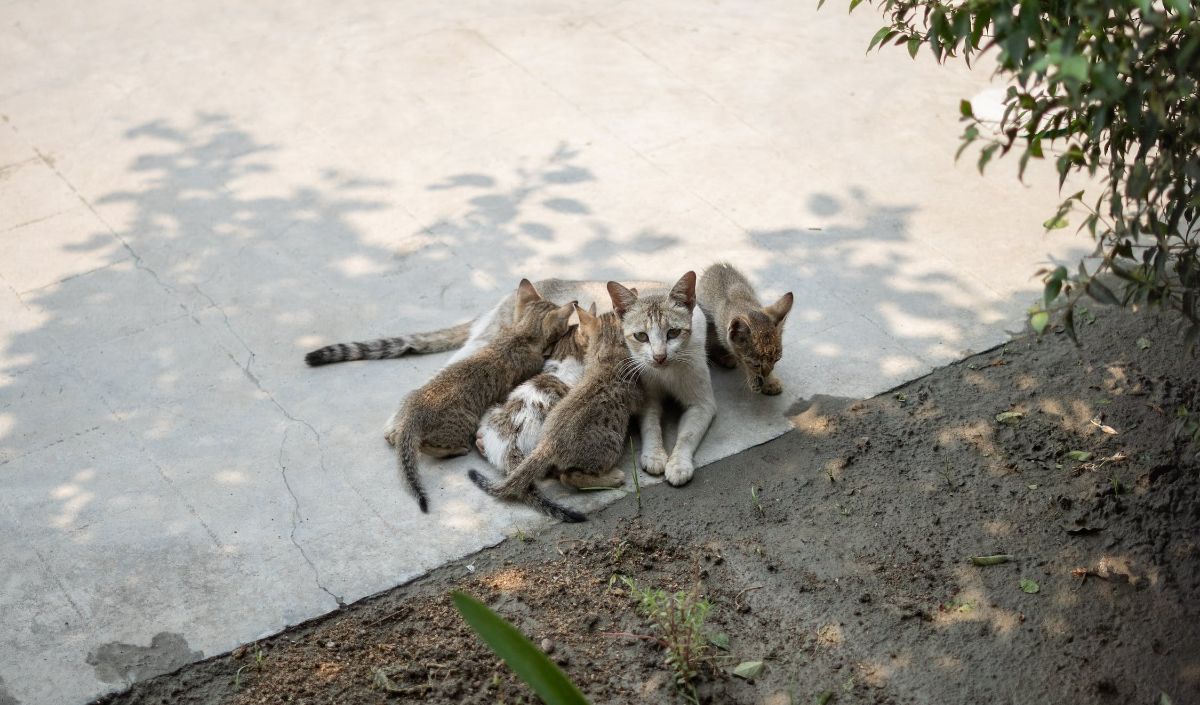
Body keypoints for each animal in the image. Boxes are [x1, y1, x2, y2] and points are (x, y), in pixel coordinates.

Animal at [609, 272, 710, 486]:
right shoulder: (648, 398)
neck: (667, 373)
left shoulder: (702, 405)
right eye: (641, 336)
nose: (659, 357)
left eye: (673, 332)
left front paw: (679, 464)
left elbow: (688, 435)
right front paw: (654, 455)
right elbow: (651, 426)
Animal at [696, 262, 796, 395]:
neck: (740, 301)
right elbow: (742, 361)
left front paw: (769, 381)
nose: (766, 374)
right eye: (756, 365)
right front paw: (756, 379)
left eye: (776, 360)